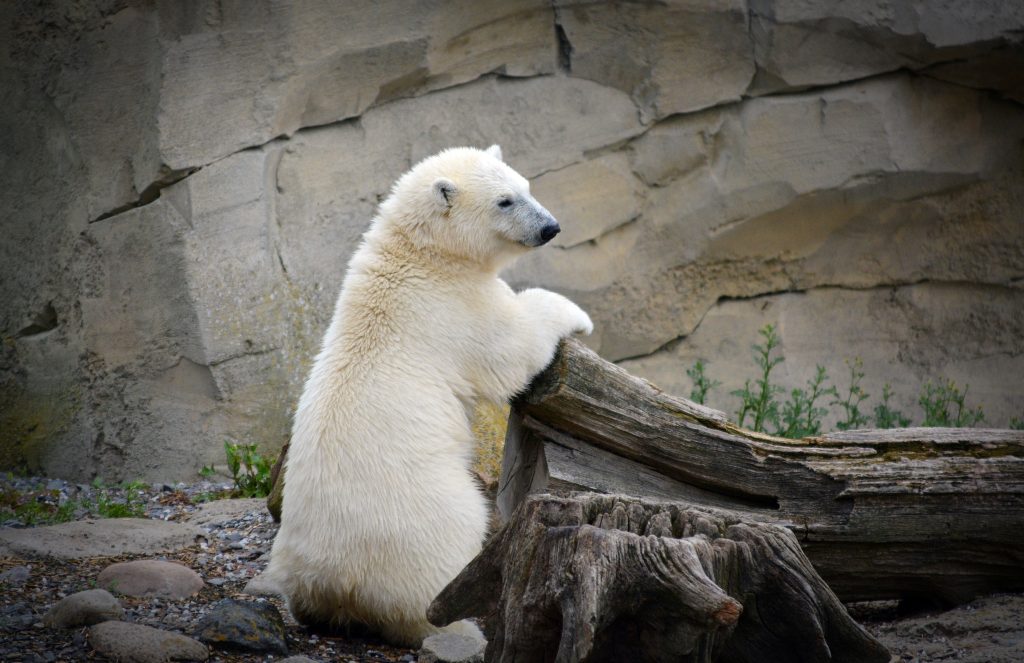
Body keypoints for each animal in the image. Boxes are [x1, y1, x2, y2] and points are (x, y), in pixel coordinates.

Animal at [264, 144, 593, 646]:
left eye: (526, 186)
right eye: (505, 200)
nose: (550, 227)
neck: (421, 257)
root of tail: (336, 584)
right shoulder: (455, 307)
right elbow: (511, 349)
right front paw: (577, 314)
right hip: (423, 516)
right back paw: (463, 627)